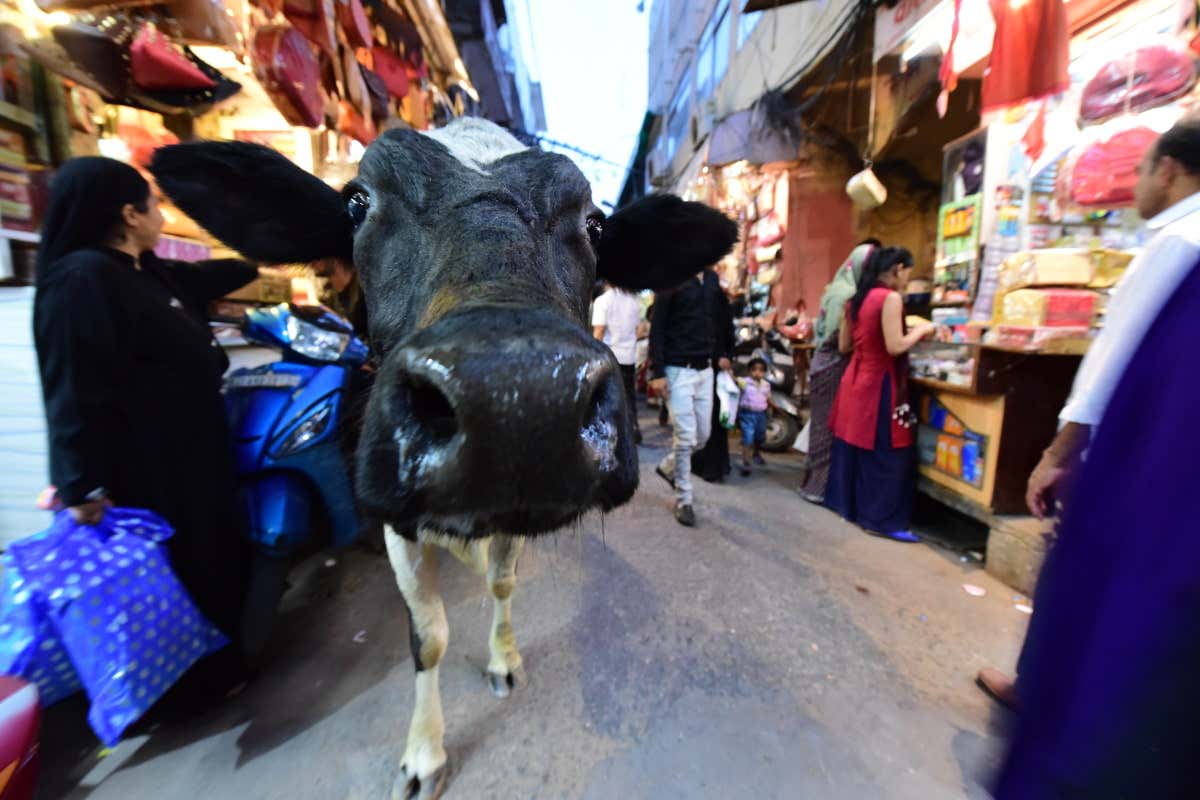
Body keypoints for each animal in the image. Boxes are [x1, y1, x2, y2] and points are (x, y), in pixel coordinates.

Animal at [147, 118, 729, 800]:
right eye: (357, 203)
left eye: (595, 226)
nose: (516, 396)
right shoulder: (398, 521)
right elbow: (428, 638)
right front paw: (424, 755)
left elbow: (501, 584)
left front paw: (504, 659)